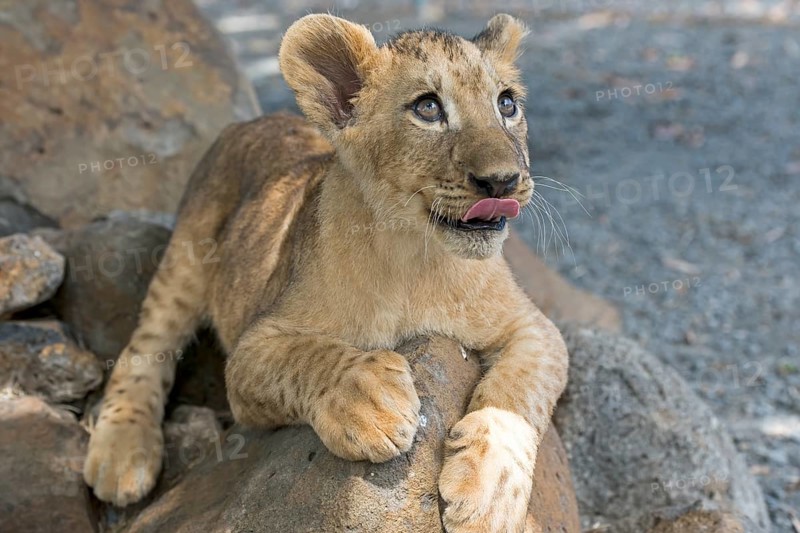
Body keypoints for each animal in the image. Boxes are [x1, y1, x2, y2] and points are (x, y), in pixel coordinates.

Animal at [83, 13, 569, 532]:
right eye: (428, 108)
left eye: (506, 103)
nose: (502, 181)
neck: (418, 258)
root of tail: (256, 120)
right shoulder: (251, 349)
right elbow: (307, 357)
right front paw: (368, 401)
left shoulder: (536, 328)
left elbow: (518, 396)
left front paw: (490, 491)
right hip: (185, 260)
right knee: (145, 348)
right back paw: (122, 456)